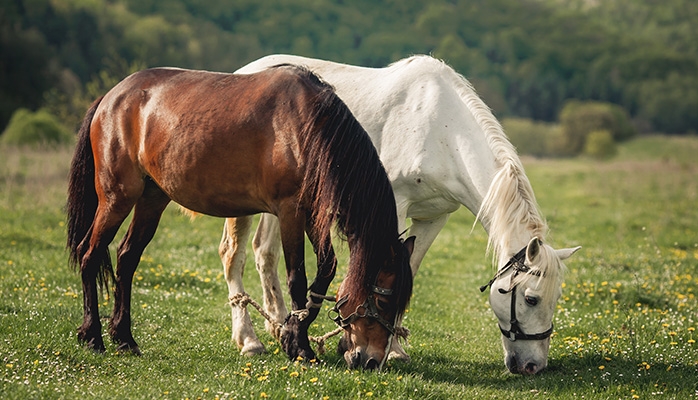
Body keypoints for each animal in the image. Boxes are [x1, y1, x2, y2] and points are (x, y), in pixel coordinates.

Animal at [64, 64, 414, 370]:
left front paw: (292, 333)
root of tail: (111, 97)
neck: (308, 128)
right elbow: (297, 279)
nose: (371, 360)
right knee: (90, 255)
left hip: (152, 200)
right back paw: (93, 336)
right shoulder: (290, 212)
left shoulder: (313, 214)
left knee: (126, 259)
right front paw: (300, 346)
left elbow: (325, 270)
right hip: (117, 198)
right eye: (384, 302)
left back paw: (124, 338)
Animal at [222, 54, 576, 374]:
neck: (443, 132)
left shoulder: (434, 218)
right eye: (531, 298)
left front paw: (392, 347)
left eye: (557, 296)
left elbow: (409, 270)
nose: (532, 366)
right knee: (233, 255)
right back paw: (249, 340)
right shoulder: (393, 208)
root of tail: (244, 71)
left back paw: (279, 325)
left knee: (264, 253)